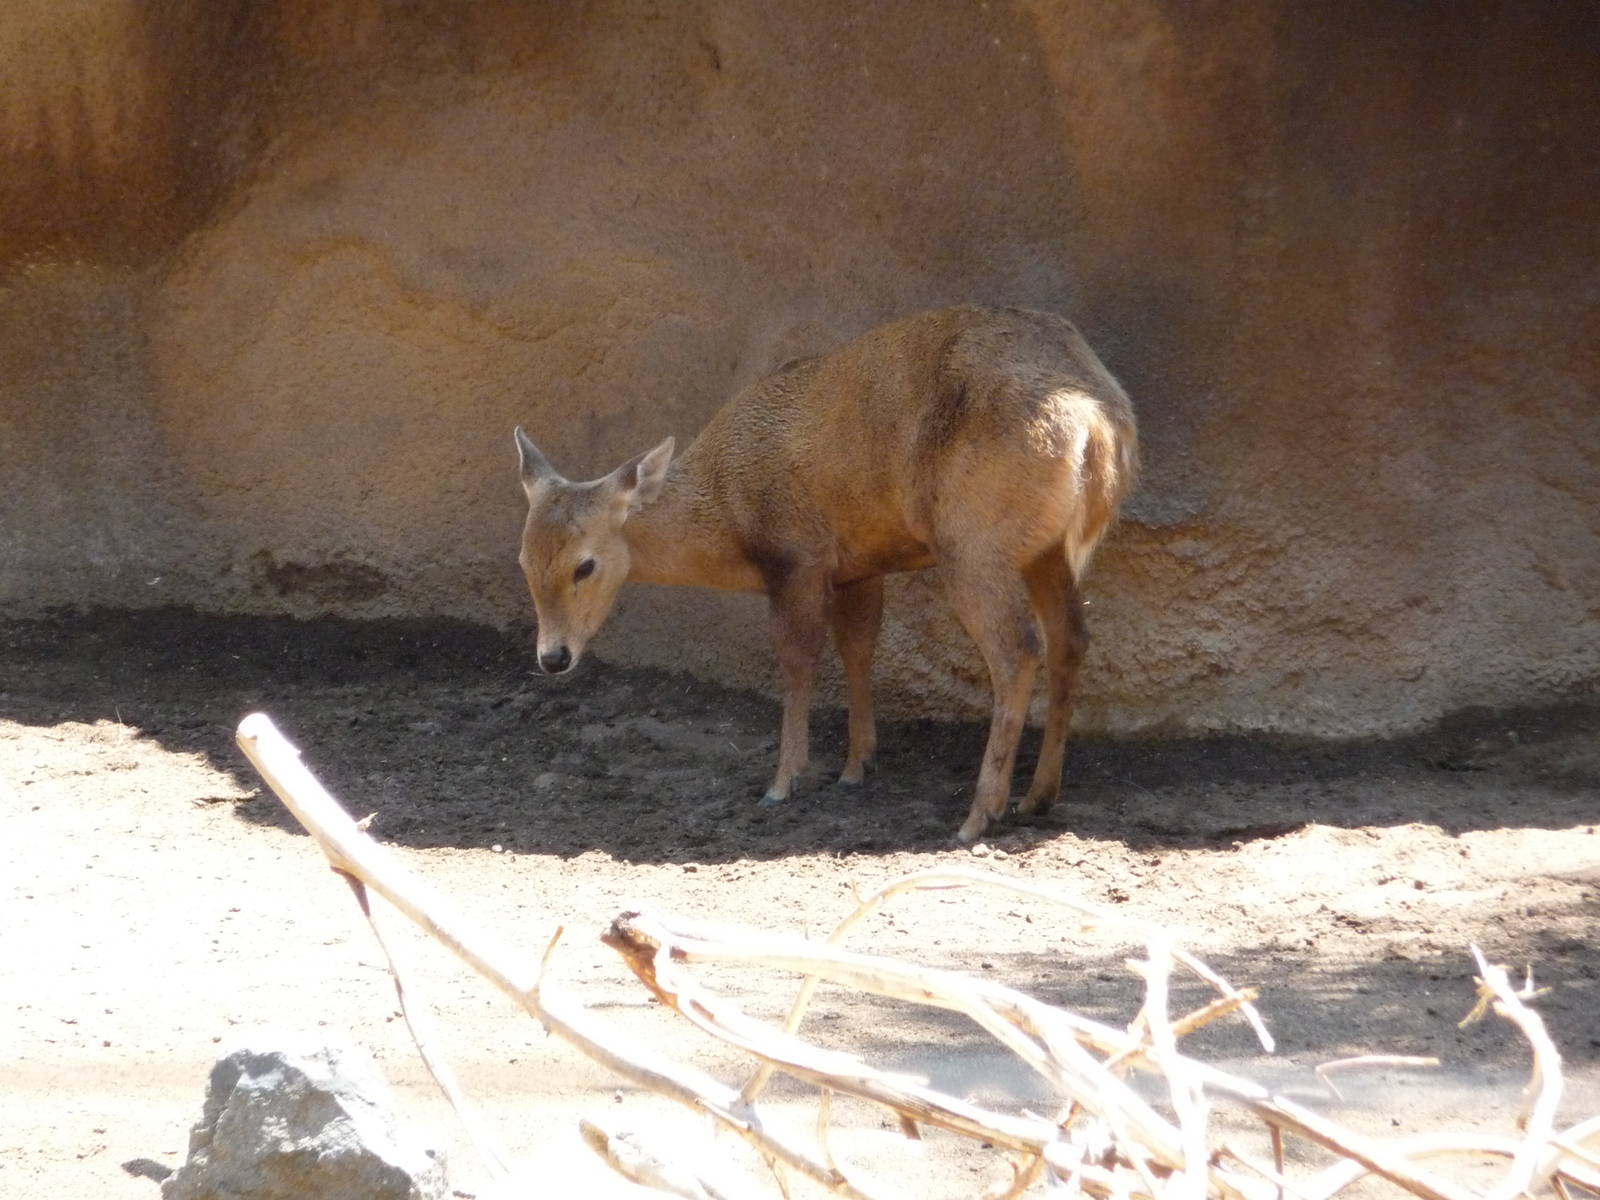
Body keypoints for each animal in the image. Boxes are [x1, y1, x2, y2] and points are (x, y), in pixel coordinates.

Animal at [513, 305, 1137, 843]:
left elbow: (797, 659)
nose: (553, 657)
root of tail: (1097, 426)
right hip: (1046, 549)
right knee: (1070, 638)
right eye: (522, 560)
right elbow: (858, 647)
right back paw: (1038, 796)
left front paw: (784, 781)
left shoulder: (797, 555)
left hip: (975, 540)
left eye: (585, 564)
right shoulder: (858, 564)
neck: (730, 512)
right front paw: (857, 764)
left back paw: (980, 814)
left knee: (1016, 649)